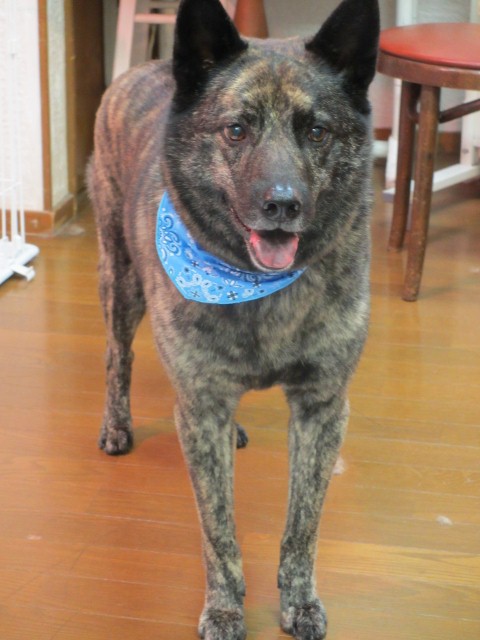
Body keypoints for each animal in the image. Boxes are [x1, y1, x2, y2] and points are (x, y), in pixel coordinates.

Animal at [88, 0, 379, 637]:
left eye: (316, 131)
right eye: (236, 130)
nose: (282, 205)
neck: (253, 285)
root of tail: (142, 69)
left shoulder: (323, 408)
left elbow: (303, 525)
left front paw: (299, 601)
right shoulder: (200, 410)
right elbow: (217, 529)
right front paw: (224, 608)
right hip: (120, 282)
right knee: (117, 356)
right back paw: (117, 425)